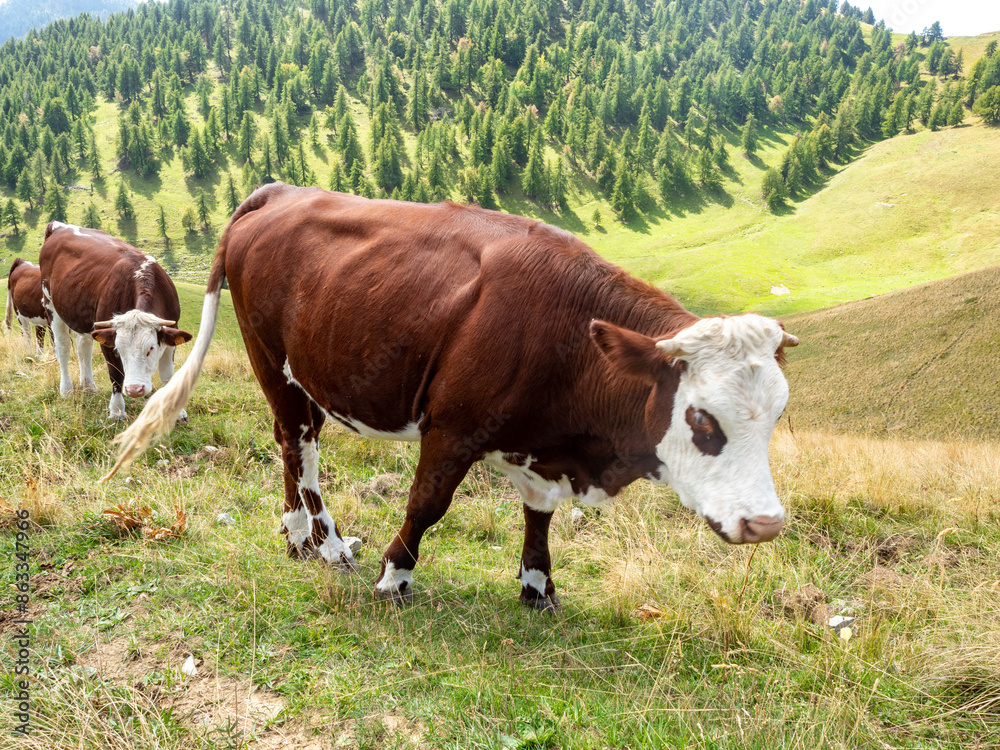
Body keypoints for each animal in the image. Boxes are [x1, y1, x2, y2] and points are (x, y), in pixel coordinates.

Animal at [39, 222, 192, 421]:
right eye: (119, 349)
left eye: (151, 348)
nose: (134, 389)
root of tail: (59, 226)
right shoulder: (109, 339)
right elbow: (116, 374)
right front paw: (117, 410)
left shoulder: (171, 329)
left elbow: (168, 374)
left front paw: (178, 412)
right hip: (50, 305)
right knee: (63, 348)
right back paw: (66, 389)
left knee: (84, 347)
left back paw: (88, 385)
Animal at [106, 184, 798, 611]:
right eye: (702, 418)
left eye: (776, 418)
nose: (766, 524)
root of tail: (280, 191)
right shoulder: (453, 427)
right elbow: (426, 504)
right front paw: (394, 578)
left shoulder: (538, 447)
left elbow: (538, 515)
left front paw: (538, 587)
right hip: (270, 360)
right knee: (298, 448)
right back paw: (328, 544)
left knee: (290, 446)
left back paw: (298, 535)